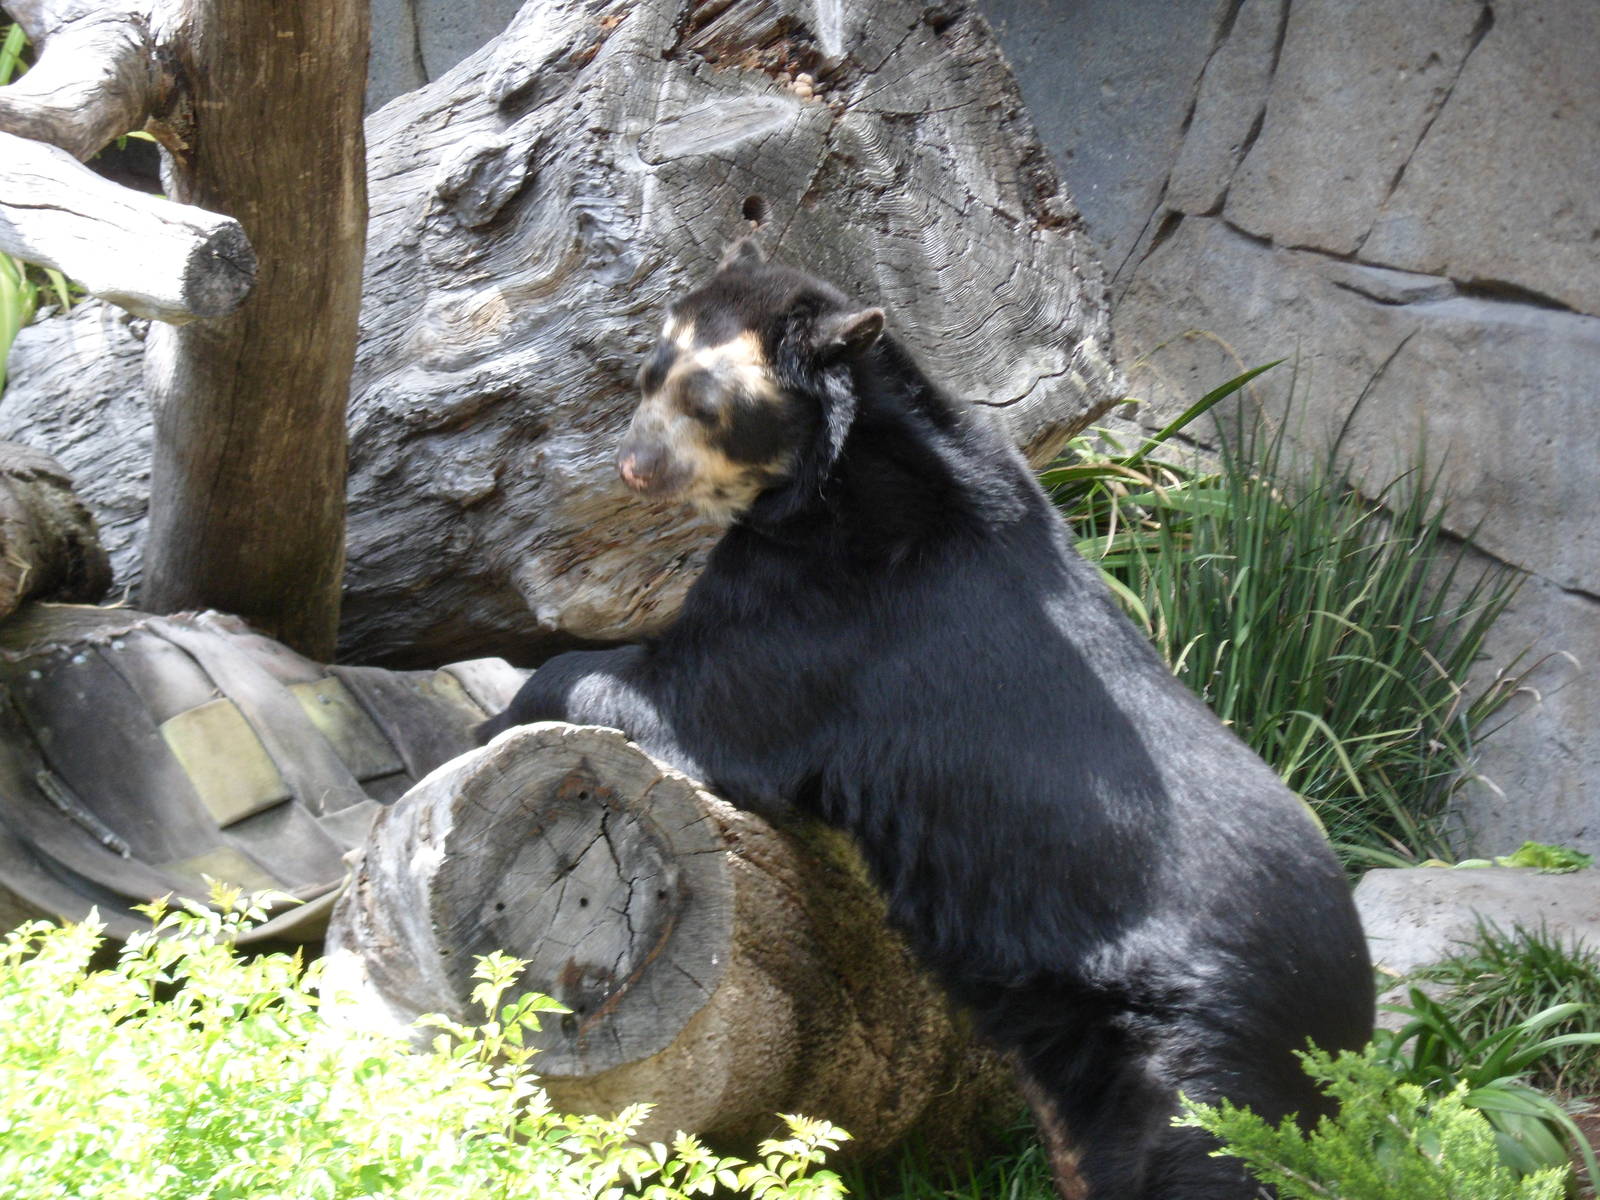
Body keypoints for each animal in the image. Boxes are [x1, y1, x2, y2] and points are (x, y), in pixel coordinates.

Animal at [478, 238, 1374, 1199]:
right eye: (648, 376)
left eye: (708, 405)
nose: (634, 466)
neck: (833, 472)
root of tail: (1350, 1019)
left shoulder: (828, 609)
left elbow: (698, 701)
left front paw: (502, 714)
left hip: (1203, 1056)